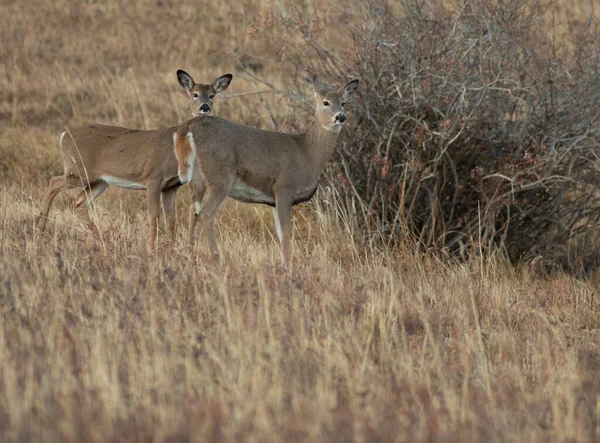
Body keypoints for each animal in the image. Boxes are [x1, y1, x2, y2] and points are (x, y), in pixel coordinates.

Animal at [35, 69, 232, 250]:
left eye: (212, 95)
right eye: (194, 94)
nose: (205, 107)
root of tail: (63, 135)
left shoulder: (170, 187)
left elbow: (171, 221)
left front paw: (171, 250)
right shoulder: (153, 178)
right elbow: (154, 217)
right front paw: (152, 249)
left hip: (99, 181)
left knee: (79, 202)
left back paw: (99, 239)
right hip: (78, 171)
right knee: (54, 182)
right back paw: (40, 228)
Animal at [185, 76, 358, 264]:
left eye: (343, 103)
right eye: (325, 102)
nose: (341, 117)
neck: (307, 152)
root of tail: (190, 128)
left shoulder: (273, 200)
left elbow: (280, 233)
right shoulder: (284, 188)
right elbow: (286, 232)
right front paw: (287, 266)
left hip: (198, 179)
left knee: (193, 211)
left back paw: (190, 255)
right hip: (220, 177)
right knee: (206, 213)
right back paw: (216, 258)